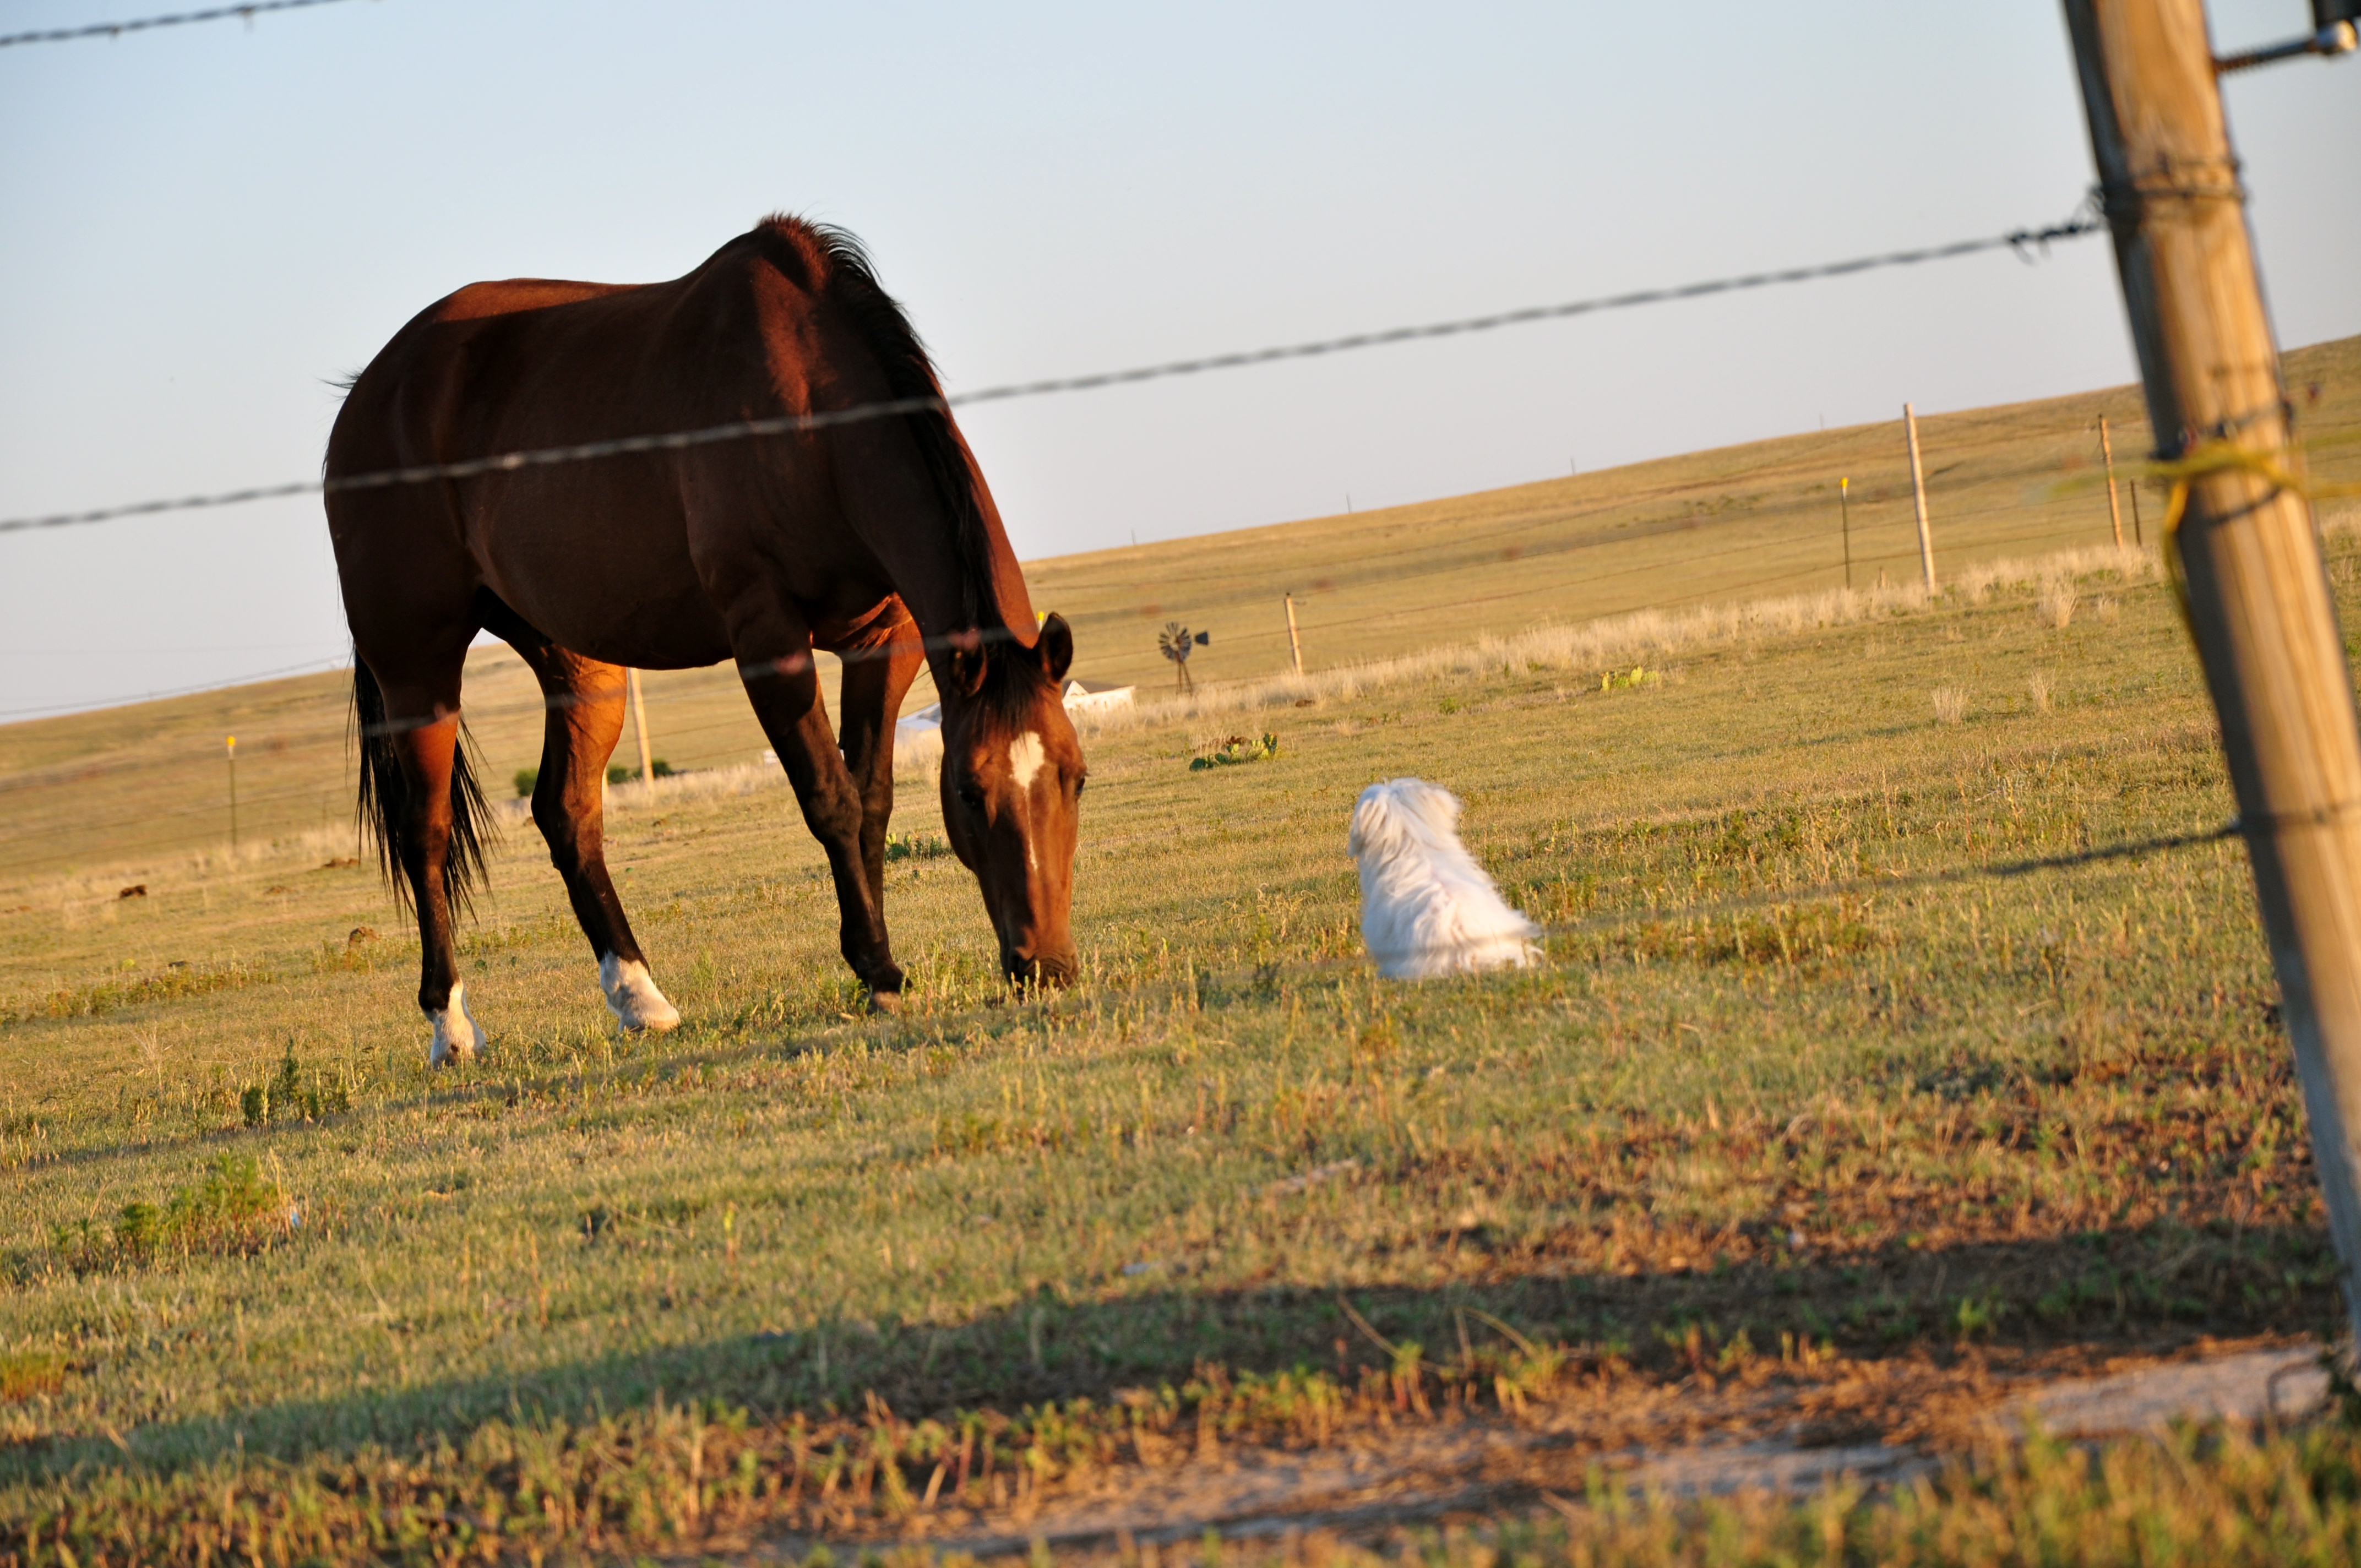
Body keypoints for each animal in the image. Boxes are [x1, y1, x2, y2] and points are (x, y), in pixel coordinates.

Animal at [325, 216, 1086, 1065]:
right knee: (425, 836)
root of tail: (368, 392)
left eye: (1078, 778)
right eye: (968, 792)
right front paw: (877, 967)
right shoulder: (769, 639)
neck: (811, 415)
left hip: (580, 666)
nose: (1046, 965)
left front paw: (878, 968)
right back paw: (451, 1026)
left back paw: (639, 997)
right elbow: (831, 799)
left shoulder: (884, 642)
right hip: (417, 671)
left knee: (566, 813)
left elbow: (873, 798)